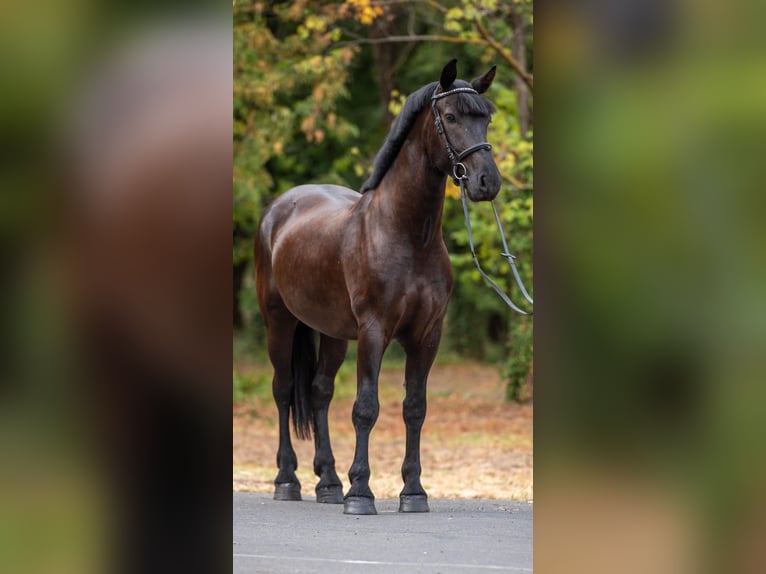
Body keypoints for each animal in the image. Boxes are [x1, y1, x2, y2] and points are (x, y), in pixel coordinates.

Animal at [254, 59, 501, 515]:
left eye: (486, 118)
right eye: (451, 116)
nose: (486, 182)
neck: (406, 234)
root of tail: (278, 209)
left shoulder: (427, 336)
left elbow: (415, 408)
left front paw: (413, 492)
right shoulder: (374, 331)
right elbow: (365, 408)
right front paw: (361, 492)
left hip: (333, 333)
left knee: (318, 392)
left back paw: (329, 483)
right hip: (278, 323)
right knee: (283, 391)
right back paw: (288, 480)